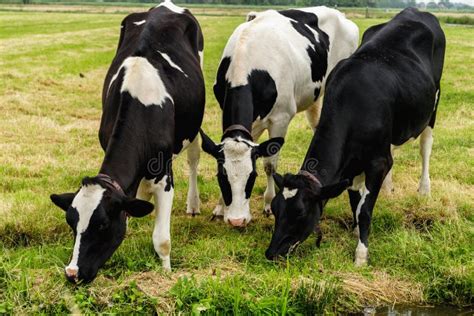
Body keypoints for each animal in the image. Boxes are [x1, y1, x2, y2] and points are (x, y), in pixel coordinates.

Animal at [50, 1, 206, 282]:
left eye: (102, 225)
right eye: (71, 223)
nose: (72, 273)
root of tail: (166, 5)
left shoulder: (164, 174)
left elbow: (162, 239)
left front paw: (166, 273)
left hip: (194, 126)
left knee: (193, 159)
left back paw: (193, 204)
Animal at [200, 6, 360, 226]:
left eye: (252, 177)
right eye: (221, 177)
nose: (237, 221)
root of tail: (339, 14)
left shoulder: (280, 119)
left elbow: (270, 165)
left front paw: (268, 204)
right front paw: (220, 207)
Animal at [264, 7, 446, 266]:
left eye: (300, 213)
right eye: (276, 209)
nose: (271, 253)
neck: (353, 101)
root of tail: (414, 10)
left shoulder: (378, 163)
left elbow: (365, 209)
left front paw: (361, 254)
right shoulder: (351, 166)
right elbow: (354, 202)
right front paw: (357, 230)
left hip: (432, 108)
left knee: (425, 146)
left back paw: (424, 189)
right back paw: (389, 188)